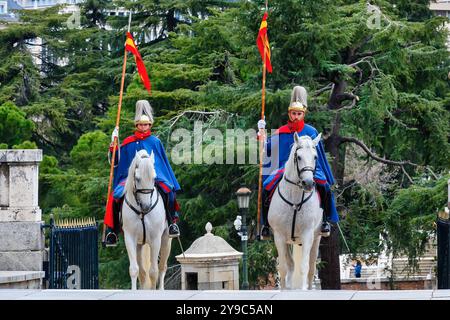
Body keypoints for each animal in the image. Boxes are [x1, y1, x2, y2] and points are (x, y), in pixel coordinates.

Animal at [121, 150, 172, 290]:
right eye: (137, 178)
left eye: (154, 178)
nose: (146, 206)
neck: (142, 213)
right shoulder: (130, 238)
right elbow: (134, 270)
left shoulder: (156, 239)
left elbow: (154, 271)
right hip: (139, 244)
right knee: (142, 273)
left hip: (166, 240)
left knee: (162, 267)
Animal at [268, 132, 324, 290]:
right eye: (298, 157)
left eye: (315, 157)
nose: (308, 183)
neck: (295, 197)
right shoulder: (279, 236)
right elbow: (283, 268)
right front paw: (284, 289)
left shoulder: (307, 235)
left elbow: (304, 267)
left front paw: (303, 290)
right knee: (291, 264)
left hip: (316, 238)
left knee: (311, 268)